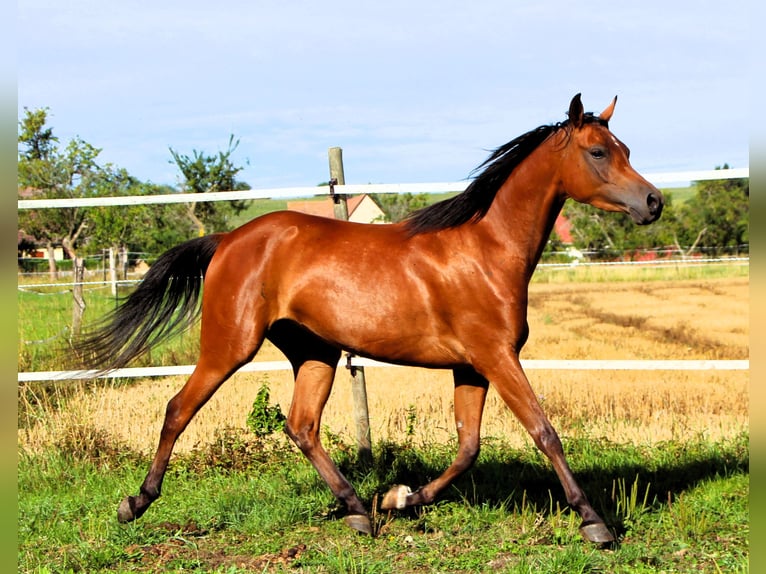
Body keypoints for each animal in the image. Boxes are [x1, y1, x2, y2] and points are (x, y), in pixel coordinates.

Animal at [75, 94, 663, 544]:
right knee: (179, 408)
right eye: (597, 151)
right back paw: (135, 503)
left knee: (302, 426)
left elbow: (468, 447)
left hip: (316, 351)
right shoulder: (496, 357)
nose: (653, 201)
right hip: (229, 345)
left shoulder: (472, 366)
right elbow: (544, 432)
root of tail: (227, 240)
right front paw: (594, 523)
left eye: (626, 150)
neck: (487, 250)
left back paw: (359, 510)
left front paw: (401, 498)